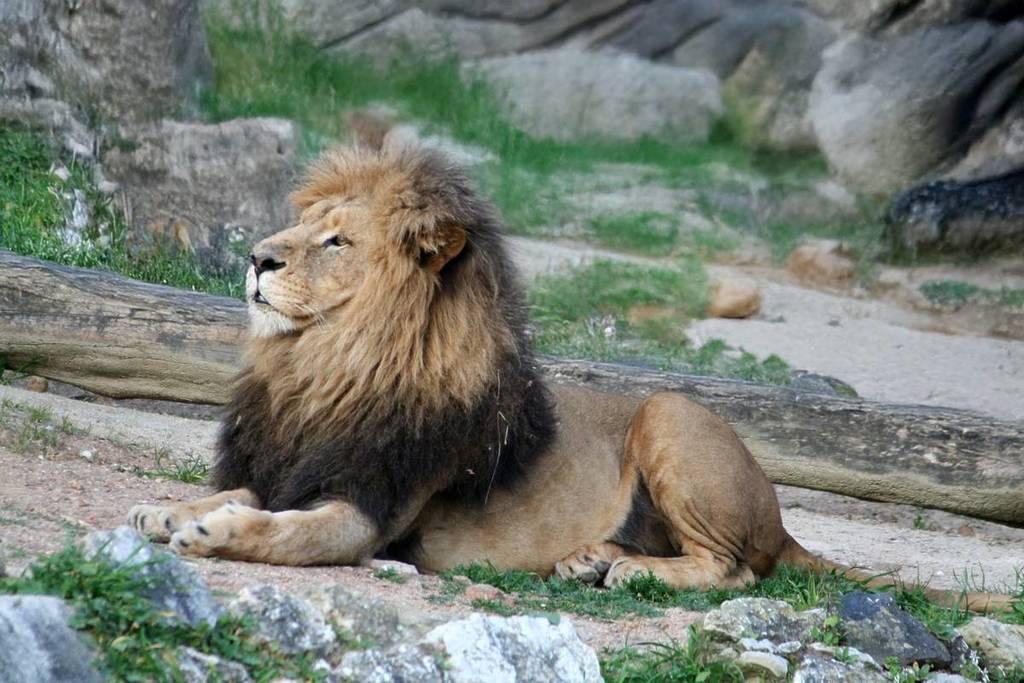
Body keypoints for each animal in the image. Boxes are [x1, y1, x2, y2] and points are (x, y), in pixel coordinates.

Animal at [127, 144, 1006, 608]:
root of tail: (782, 517)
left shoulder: (370, 511)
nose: (255, 258)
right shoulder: (284, 463)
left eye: (335, 240)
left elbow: (285, 530)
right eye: (303, 223)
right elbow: (238, 490)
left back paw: (628, 567)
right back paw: (590, 559)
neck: (324, 366)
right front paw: (168, 508)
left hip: (670, 415)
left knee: (735, 569)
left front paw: (215, 532)